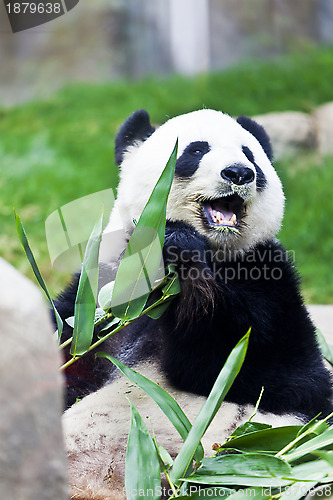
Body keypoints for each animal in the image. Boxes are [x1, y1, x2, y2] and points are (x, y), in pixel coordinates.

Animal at [56, 109, 330, 500]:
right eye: (197, 150)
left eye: (250, 154)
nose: (239, 173)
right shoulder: (97, 295)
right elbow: (70, 359)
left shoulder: (271, 280)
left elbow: (283, 376)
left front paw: (183, 254)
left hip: (241, 456)